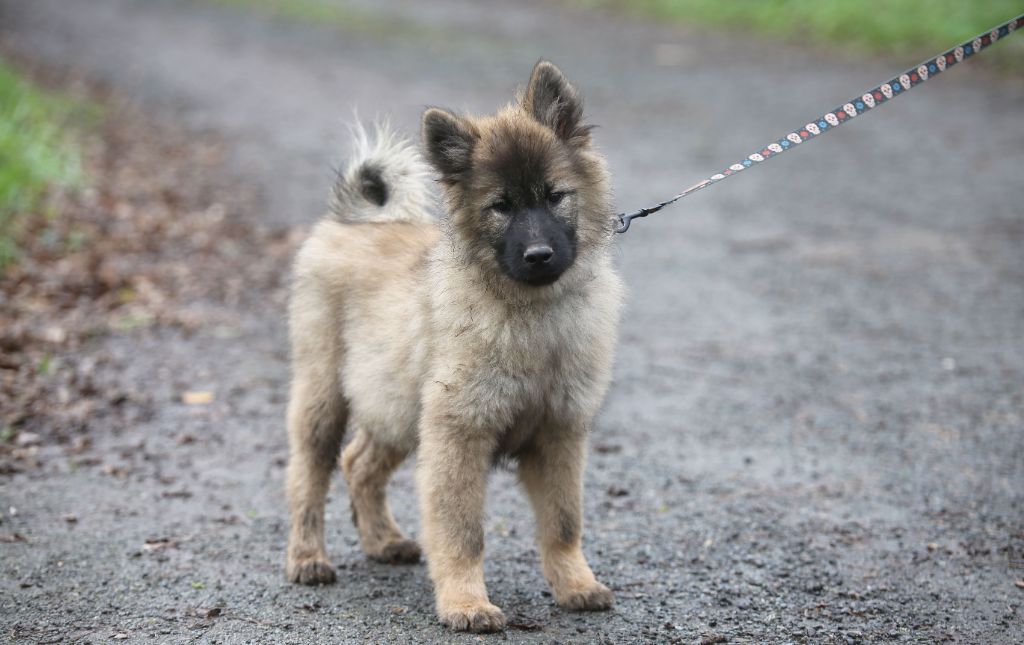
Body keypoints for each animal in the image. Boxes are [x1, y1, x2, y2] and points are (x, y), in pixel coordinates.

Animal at [288, 58, 622, 634]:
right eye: (501, 207)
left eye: (555, 196)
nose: (538, 254)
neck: (531, 313)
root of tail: (353, 219)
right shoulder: (460, 433)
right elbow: (463, 532)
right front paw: (466, 604)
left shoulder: (559, 433)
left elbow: (563, 523)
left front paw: (576, 585)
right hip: (325, 393)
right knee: (310, 474)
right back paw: (308, 558)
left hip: (395, 402)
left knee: (359, 463)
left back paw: (384, 541)